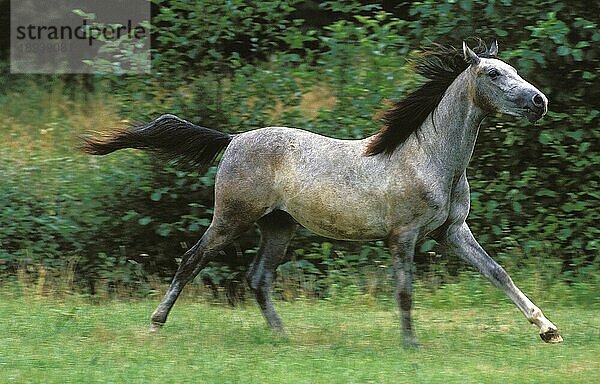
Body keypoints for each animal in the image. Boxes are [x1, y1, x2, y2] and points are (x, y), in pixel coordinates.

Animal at [83, 41, 564, 344]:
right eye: (494, 74)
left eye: (515, 71)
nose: (539, 102)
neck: (428, 158)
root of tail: (233, 139)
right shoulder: (403, 237)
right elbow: (405, 291)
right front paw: (411, 345)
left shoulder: (452, 231)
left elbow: (498, 273)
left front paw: (549, 330)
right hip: (232, 219)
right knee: (192, 260)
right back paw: (155, 325)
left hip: (279, 227)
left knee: (258, 278)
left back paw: (283, 337)